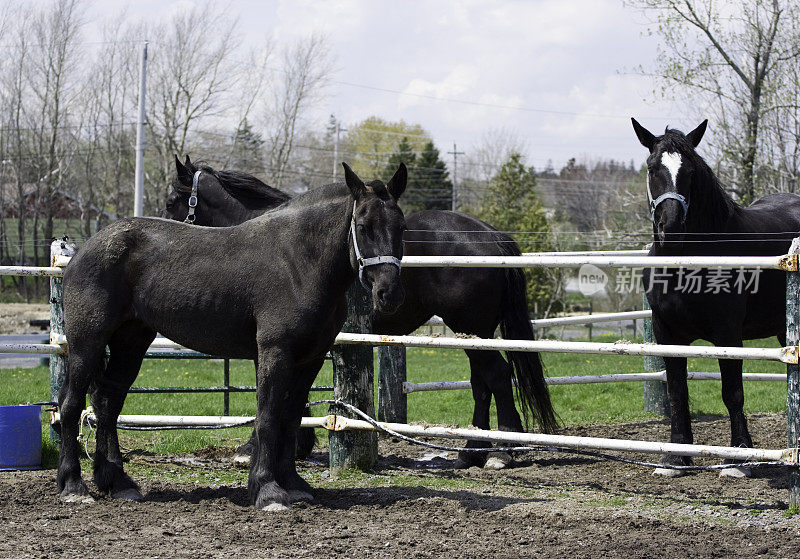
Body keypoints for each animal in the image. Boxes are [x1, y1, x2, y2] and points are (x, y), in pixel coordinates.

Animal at [57, 163, 406, 512]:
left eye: (401, 226)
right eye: (363, 226)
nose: (388, 293)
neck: (299, 260)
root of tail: (83, 250)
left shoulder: (310, 359)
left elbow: (290, 418)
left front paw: (292, 483)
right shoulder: (274, 352)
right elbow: (268, 418)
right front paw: (267, 489)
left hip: (130, 344)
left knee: (107, 402)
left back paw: (117, 482)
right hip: (87, 344)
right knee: (70, 405)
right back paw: (73, 485)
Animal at [168, 156, 556, 468]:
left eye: (171, 199)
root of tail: (492, 235)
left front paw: (255, 449)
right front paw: (297, 445)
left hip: (471, 328)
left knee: (497, 377)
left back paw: (500, 452)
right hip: (474, 334)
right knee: (482, 383)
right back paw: (472, 451)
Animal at [632, 119, 800, 476]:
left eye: (691, 171)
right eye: (652, 168)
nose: (672, 227)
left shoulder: (728, 334)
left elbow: (732, 392)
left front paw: (739, 457)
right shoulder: (667, 333)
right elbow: (677, 391)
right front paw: (676, 456)